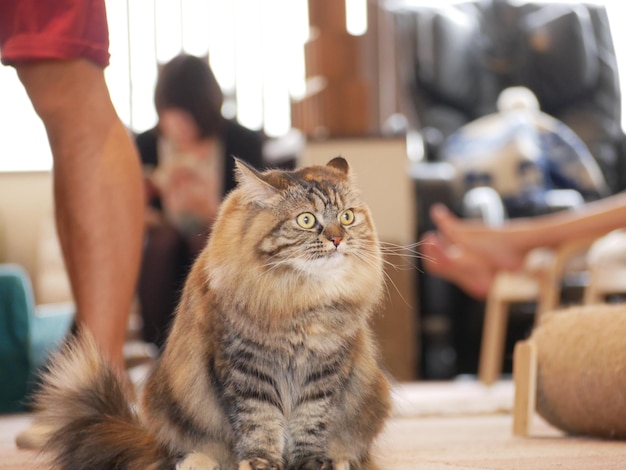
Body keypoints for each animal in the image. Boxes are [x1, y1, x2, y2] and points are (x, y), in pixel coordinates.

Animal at [33, 157, 390, 470]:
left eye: (347, 217)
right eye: (306, 220)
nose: (337, 239)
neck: (300, 299)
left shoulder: (324, 372)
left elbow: (311, 423)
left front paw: (312, 464)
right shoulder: (246, 368)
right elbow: (260, 424)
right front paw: (261, 464)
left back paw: (341, 461)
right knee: (186, 450)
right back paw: (196, 463)